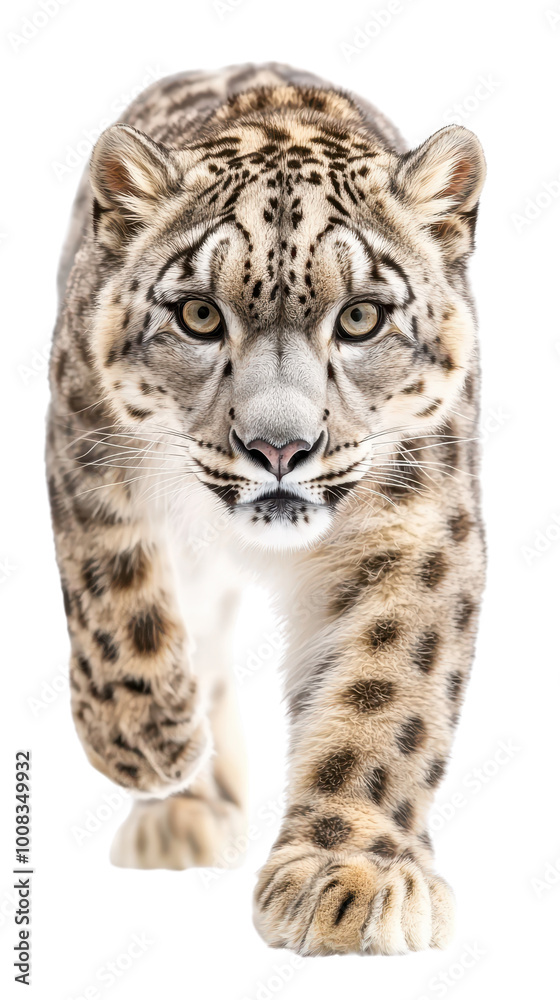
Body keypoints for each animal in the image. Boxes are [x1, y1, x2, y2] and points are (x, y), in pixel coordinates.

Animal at [46, 62, 486, 957]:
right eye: (198, 314)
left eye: (361, 317)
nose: (279, 448)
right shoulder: (85, 452)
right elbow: (114, 599)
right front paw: (147, 741)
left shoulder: (418, 523)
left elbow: (386, 688)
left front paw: (347, 877)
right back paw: (181, 801)